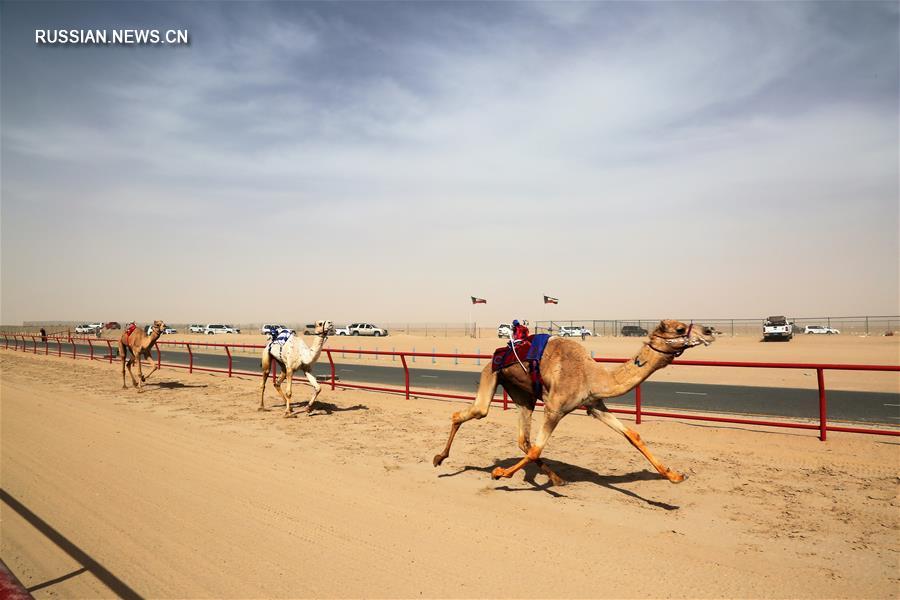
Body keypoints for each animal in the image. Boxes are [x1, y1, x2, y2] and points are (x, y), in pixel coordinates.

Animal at [434, 322, 716, 486]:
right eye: (679, 329)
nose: (710, 331)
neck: (592, 376)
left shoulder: (595, 405)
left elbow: (632, 435)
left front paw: (674, 475)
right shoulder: (555, 408)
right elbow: (537, 449)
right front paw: (499, 473)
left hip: (522, 393)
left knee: (523, 440)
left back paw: (557, 478)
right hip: (491, 374)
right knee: (472, 413)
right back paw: (439, 459)